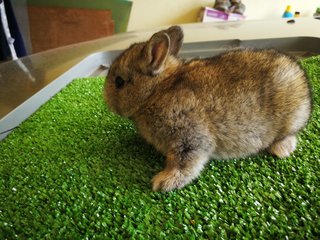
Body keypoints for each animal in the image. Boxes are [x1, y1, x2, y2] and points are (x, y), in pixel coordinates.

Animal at [104, 25, 312, 192]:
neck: (157, 90)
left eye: (119, 82)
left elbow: (185, 163)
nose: (105, 98)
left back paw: (281, 150)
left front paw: (163, 182)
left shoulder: (189, 137)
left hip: (290, 120)